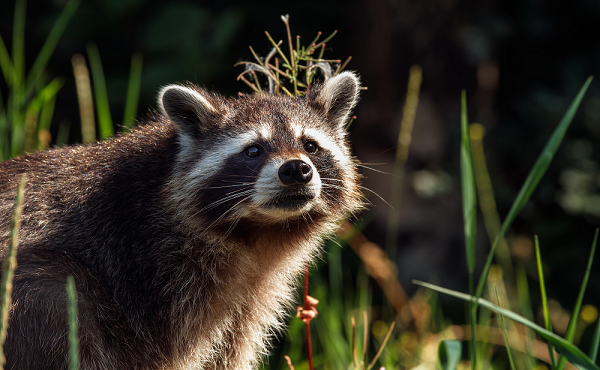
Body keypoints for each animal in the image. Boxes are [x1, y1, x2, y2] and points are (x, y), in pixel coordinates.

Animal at [0, 71, 360, 368]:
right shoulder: (149, 273)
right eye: (253, 150)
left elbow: (230, 349)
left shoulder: (247, 296)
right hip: (38, 299)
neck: (258, 232)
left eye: (310, 146)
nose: (296, 169)